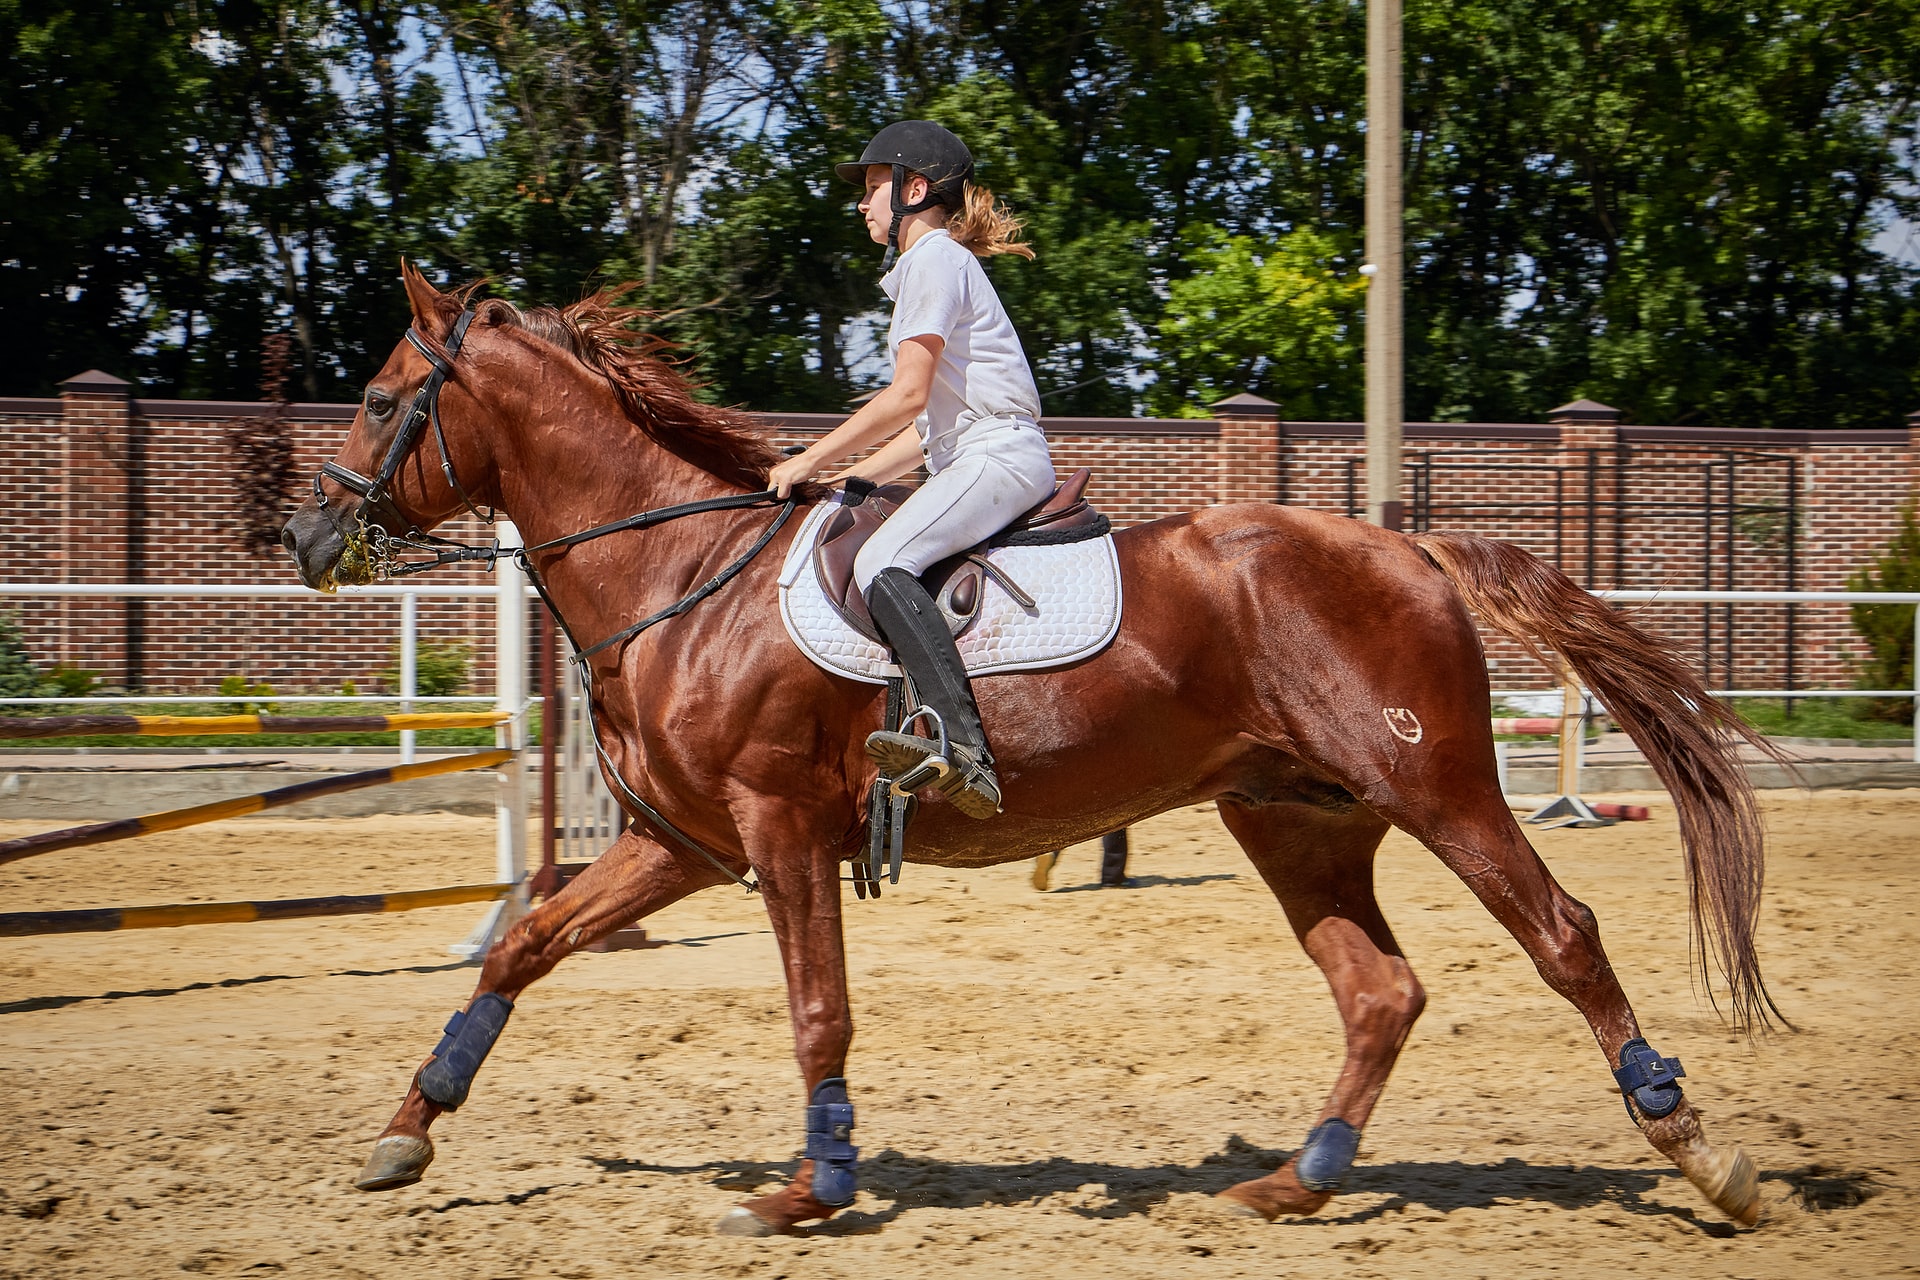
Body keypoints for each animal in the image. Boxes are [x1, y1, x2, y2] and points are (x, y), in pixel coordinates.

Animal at [281, 265, 1781, 1236]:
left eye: (378, 400)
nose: (306, 536)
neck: (680, 577)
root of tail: (1405, 545)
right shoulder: (684, 846)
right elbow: (523, 945)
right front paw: (409, 1127)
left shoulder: (777, 832)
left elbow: (818, 1011)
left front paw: (810, 1189)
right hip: (1296, 816)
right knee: (1379, 991)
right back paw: (1299, 1178)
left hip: (1438, 786)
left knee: (1563, 937)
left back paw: (1702, 1153)